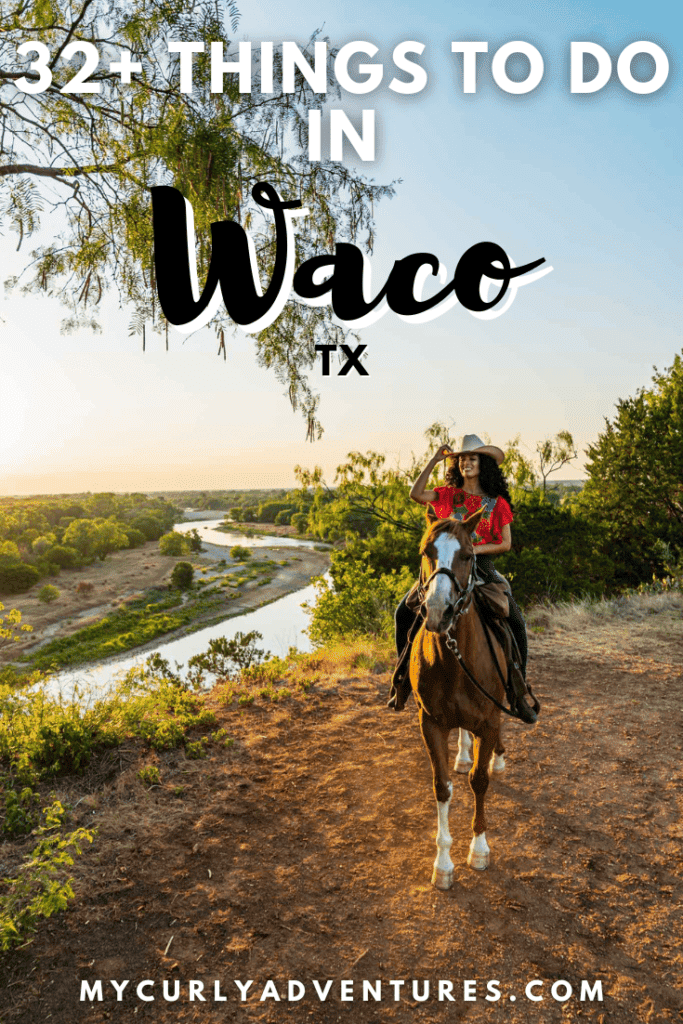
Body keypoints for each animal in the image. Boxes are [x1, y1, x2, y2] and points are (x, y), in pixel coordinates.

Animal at [411, 512, 511, 888]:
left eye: (468, 556)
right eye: (426, 551)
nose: (439, 610)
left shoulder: (489, 720)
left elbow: (479, 782)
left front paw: (479, 849)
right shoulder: (431, 724)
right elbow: (443, 788)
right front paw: (443, 864)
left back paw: (496, 757)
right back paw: (465, 755)